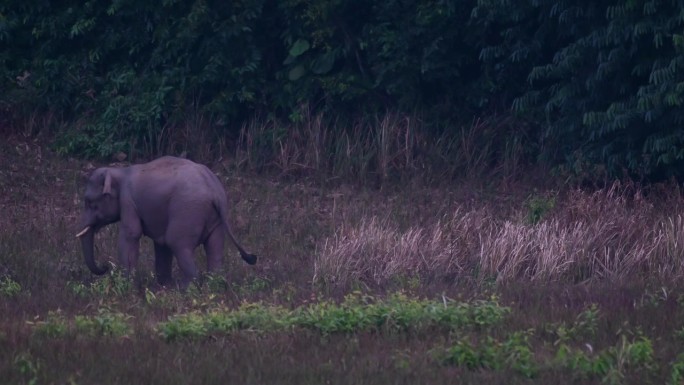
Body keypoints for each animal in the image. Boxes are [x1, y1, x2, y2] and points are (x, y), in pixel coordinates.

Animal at [75, 154, 256, 286]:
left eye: (89, 202)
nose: (105, 266)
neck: (120, 172)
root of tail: (215, 190)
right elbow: (160, 244)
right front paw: (164, 286)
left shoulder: (128, 201)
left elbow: (131, 234)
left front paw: (127, 285)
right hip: (215, 219)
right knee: (214, 248)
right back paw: (213, 285)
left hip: (187, 211)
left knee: (177, 243)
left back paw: (185, 289)